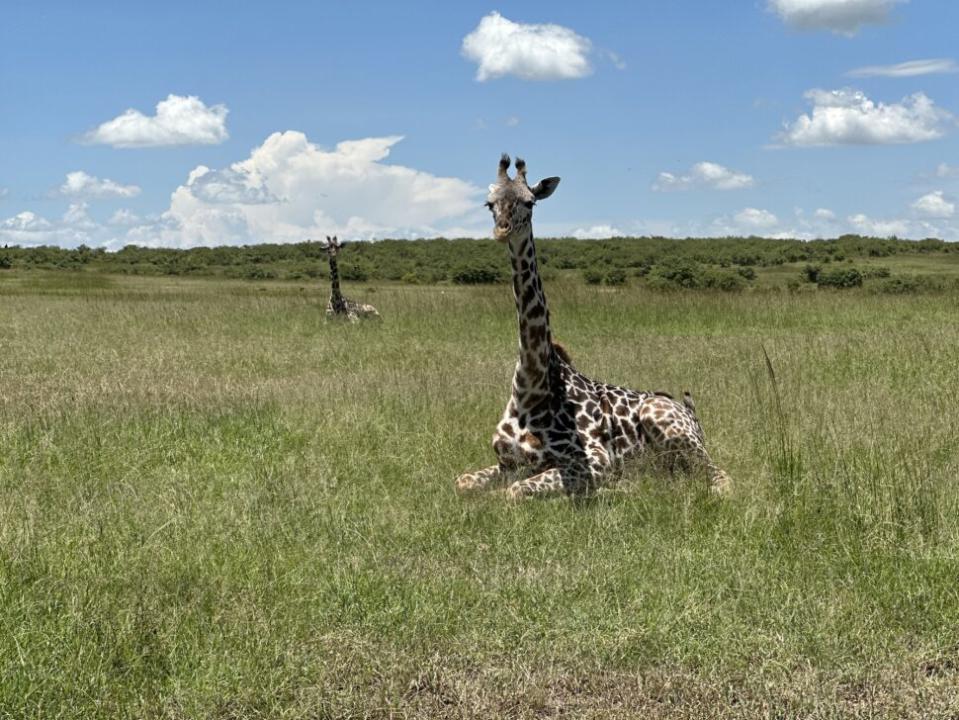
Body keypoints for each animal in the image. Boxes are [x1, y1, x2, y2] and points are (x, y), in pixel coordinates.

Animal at [454, 154, 732, 498]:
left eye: (531, 202)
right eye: (489, 203)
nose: (502, 230)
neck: (530, 389)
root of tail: (692, 415)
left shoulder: (595, 460)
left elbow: (513, 491)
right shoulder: (506, 463)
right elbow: (463, 481)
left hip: (672, 429)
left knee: (719, 478)